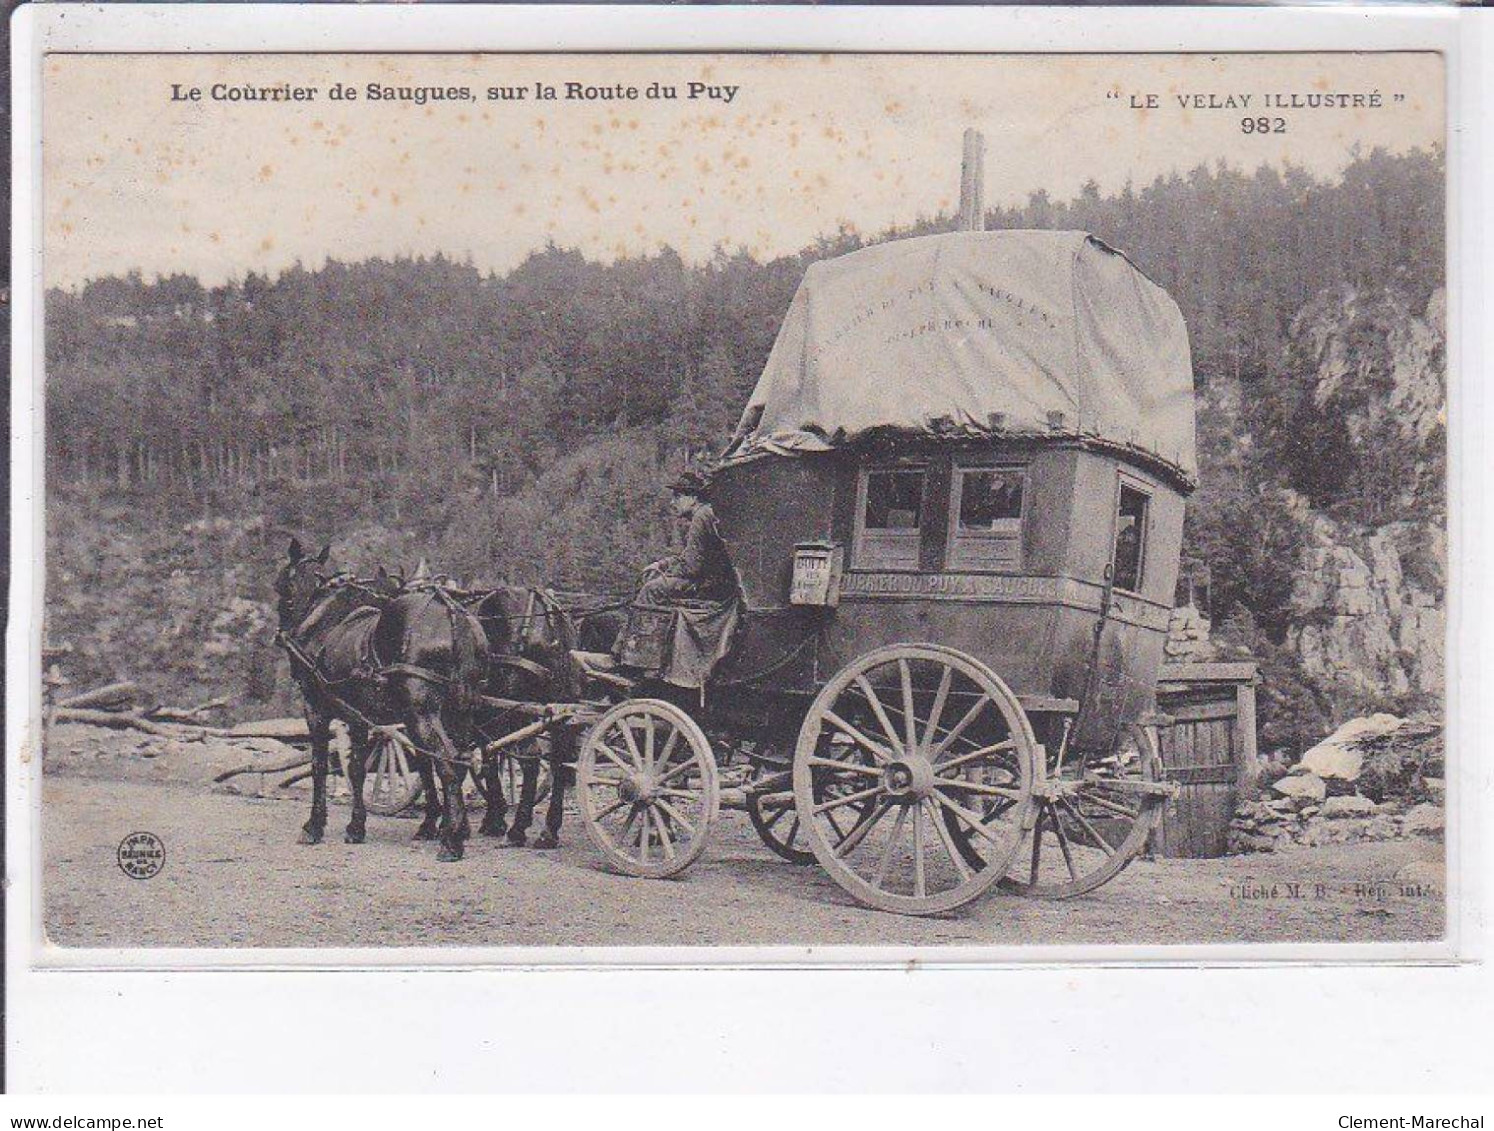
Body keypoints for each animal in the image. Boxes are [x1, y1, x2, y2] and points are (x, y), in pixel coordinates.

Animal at [277, 543, 487, 860]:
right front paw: (356, 827)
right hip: (460, 712)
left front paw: (313, 826)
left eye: (281, 586)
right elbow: (357, 769)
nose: (281, 636)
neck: (325, 623)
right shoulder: (357, 717)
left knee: (447, 761)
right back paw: (456, 828)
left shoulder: (315, 710)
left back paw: (451, 842)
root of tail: (452, 612)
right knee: (459, 759)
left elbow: (319, 766)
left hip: (421, 715)